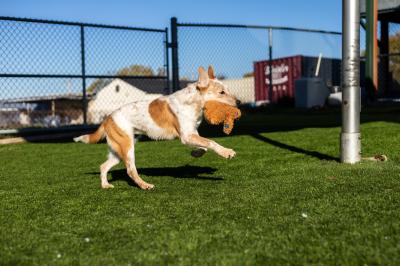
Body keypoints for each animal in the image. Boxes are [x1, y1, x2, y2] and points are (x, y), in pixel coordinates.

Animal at [74, 66, 239, 189]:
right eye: (222, 92)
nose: (238, 102)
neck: (193, 101)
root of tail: (107, 119)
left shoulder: (192, 133)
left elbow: (204, 146)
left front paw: (195, 153)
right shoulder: (186, 136)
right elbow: (211, 142)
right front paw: (227, 152)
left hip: (118, 151)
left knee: (103, 166)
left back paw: (105, 185)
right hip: (127, 147)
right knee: (130, 170)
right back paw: (145, 185)